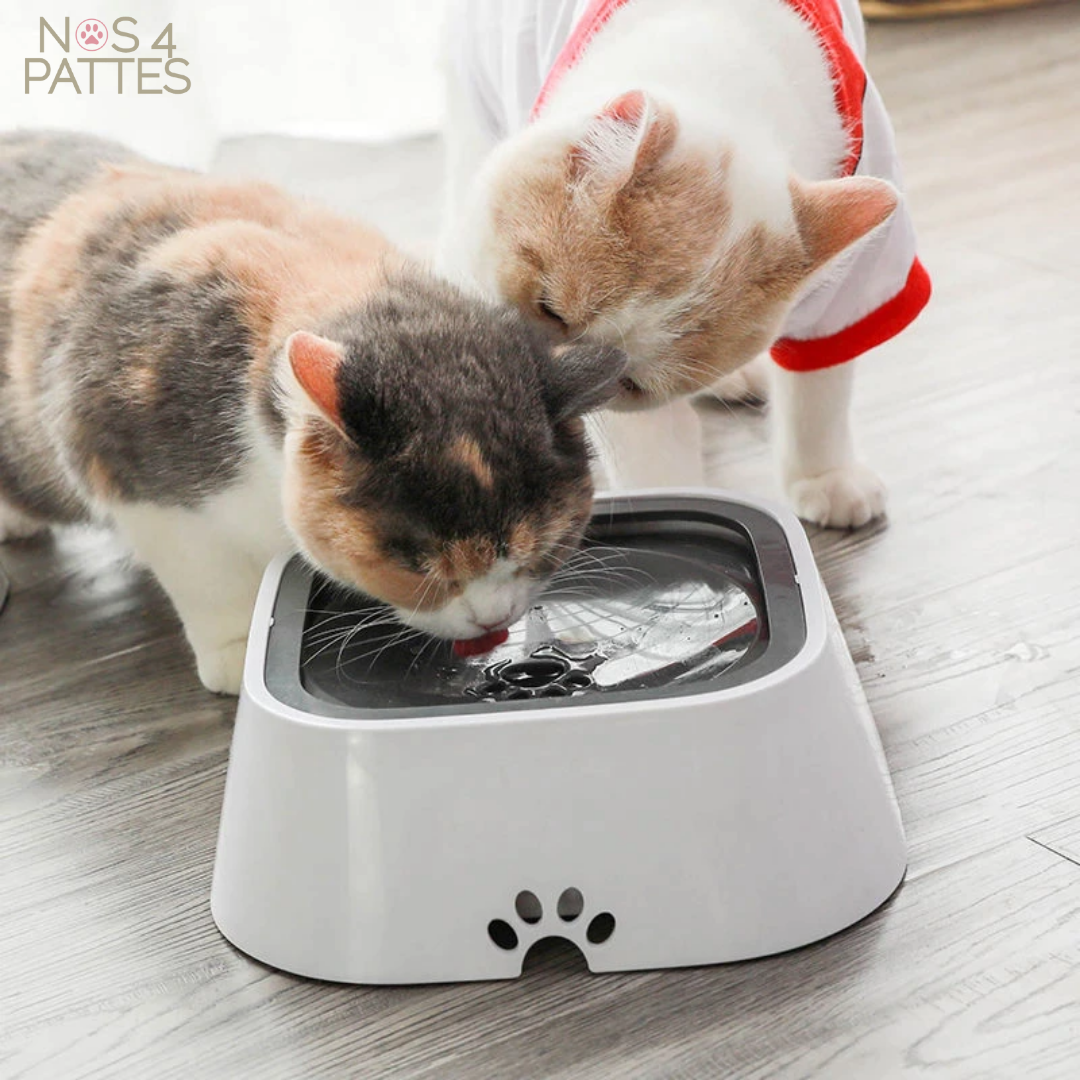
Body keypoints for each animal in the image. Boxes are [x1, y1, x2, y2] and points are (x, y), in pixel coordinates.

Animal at [0, 131, 626, 694]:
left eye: (549, 547)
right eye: (418, 569)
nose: (493, 618)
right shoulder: (128, 466)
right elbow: (204, 576)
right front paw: (237, 649)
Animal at [438, 0, 931, 527]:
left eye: (631, 384)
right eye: (550, 309)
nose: (551, 384)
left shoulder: (853, 285)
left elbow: (820, 389)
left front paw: (825, 476)